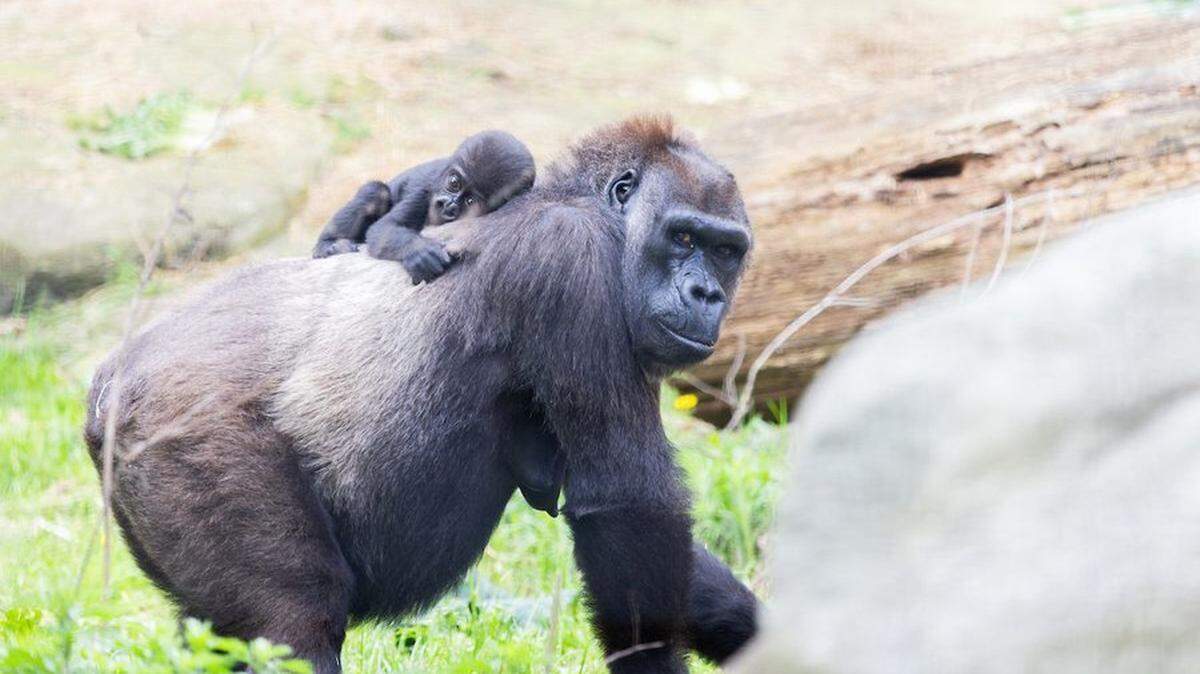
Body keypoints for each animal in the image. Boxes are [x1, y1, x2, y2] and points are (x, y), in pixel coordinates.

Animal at [312, 130, 535, 284]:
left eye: (470, 201)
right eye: (454, 183)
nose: (447, 205)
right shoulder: (422, 193)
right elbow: (384, 229)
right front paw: (419, 252)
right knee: (375, 192)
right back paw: (328, 243)